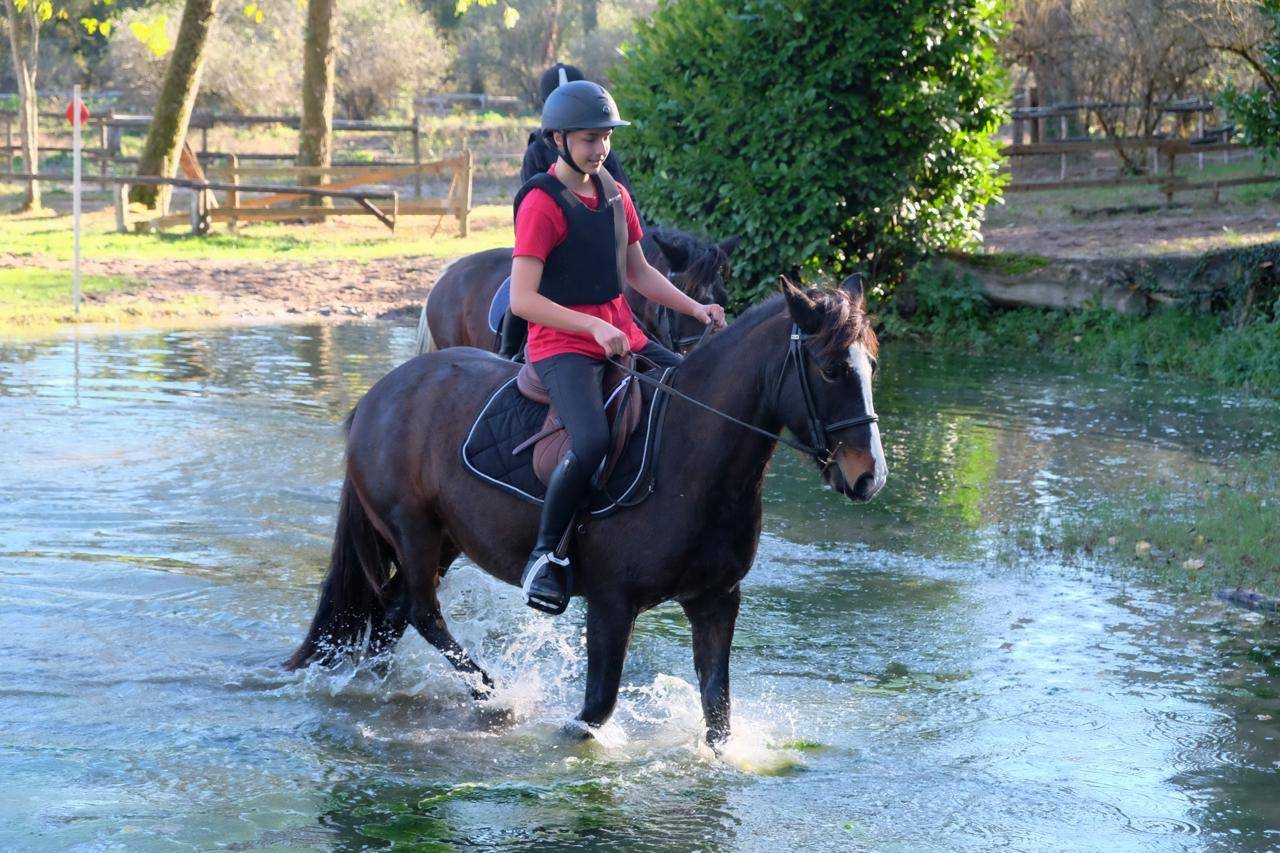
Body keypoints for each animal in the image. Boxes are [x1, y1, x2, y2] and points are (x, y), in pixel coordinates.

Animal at [288, 275, 886, 747]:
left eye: (871, 366)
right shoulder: (611, 604)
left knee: (390, 612)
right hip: (412, 531)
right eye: (831, 370)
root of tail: (380, 394)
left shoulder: (716, 601)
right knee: (420, 612)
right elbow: (594, 712)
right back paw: (497, 698)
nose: (869, 476)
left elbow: (718, 717)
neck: (688, 455)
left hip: (445, 539)